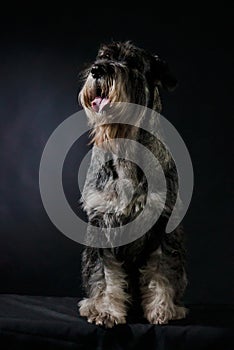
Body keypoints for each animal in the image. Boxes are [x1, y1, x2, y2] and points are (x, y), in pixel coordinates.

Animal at [77, 41, 187, 328]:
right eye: (101, 56)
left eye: (133, 62)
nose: (96, 70)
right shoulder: (100, 222)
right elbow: (104, 276)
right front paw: (105, 311)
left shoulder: (163, 225)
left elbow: (162, 270)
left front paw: (162, 310)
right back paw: (89, 306)